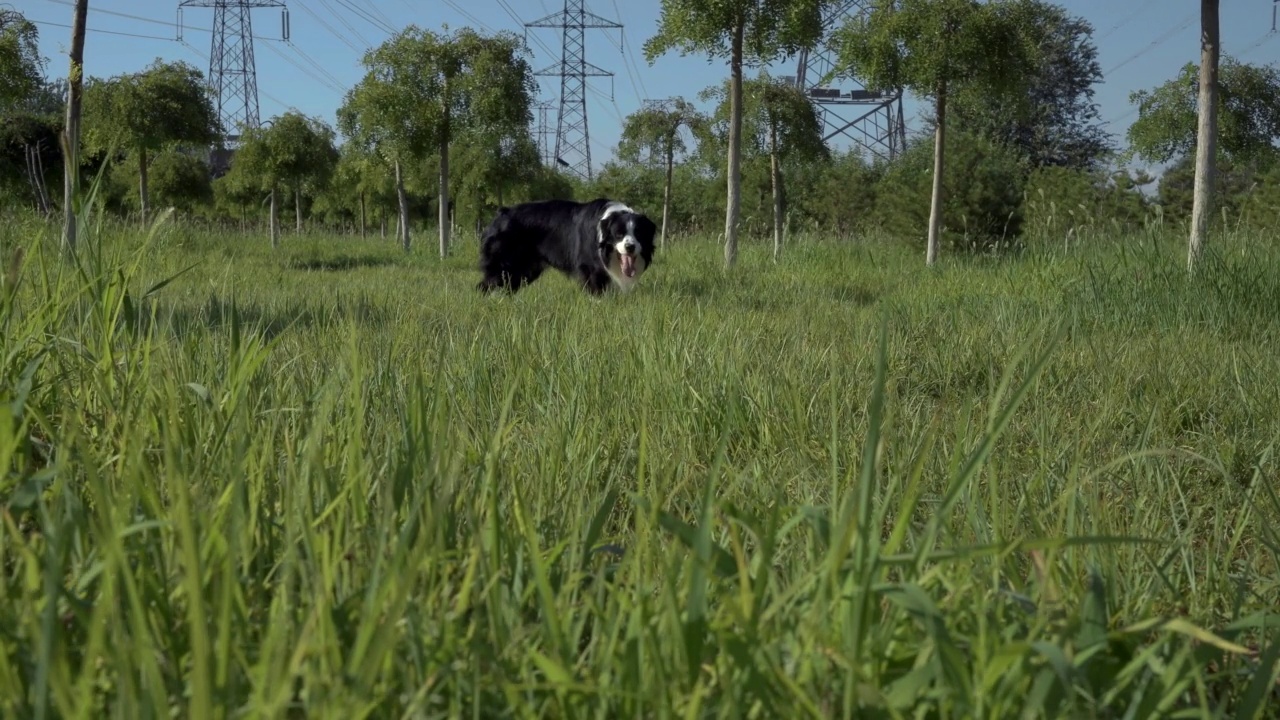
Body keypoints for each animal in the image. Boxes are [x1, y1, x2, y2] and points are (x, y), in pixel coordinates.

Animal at [476, 196, 655, 294]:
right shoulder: (589, 268)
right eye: (618, 234)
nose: (630, 247)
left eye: (639, 234)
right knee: (485, 285)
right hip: (503, 264)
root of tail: (501, 213)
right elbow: (596, 290)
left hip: (525, 269)